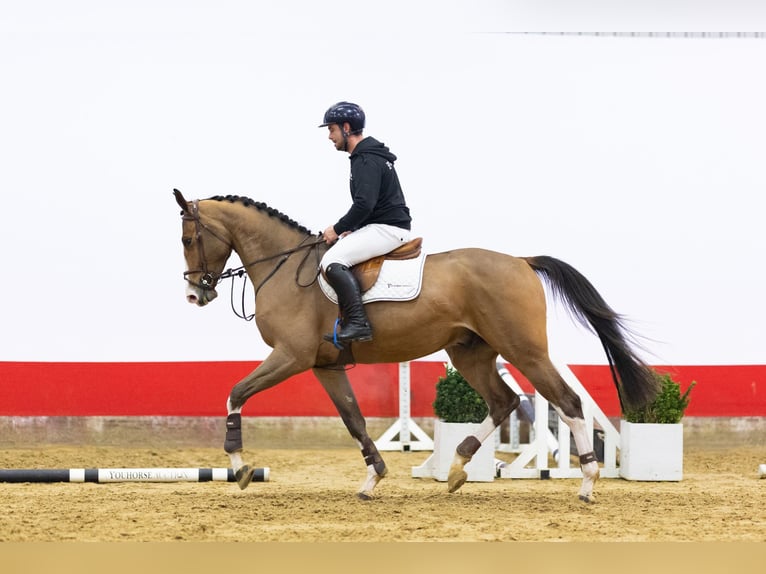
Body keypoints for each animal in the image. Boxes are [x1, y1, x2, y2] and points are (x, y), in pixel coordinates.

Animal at [173, 189, 660, 503]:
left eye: (188, 239)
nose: (195, 295)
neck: (287, 268)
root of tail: (521, 261)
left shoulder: (290, 357)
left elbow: (236, 392)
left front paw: (239, 466)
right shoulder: (325, 366)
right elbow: (354, 420)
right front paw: (373, 480)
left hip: (524, 350)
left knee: (566, 400)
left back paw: (588, 480)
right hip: (470, 352)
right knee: (503, 401)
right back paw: (458, 467)